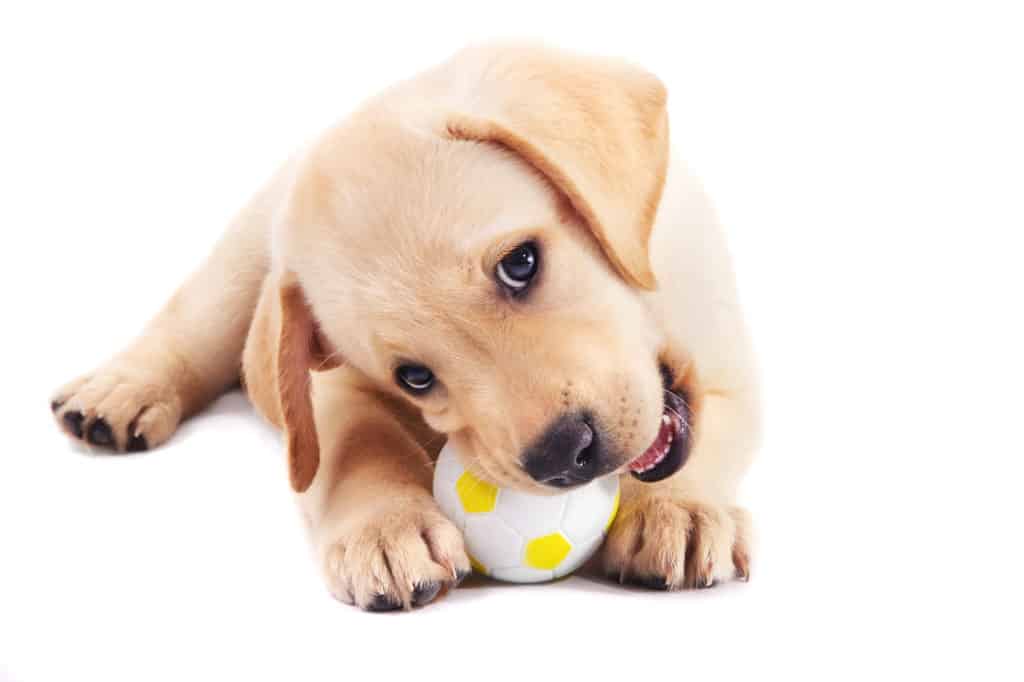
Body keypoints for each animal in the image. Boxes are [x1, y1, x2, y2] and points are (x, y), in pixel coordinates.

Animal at [49, 43, 761, 606]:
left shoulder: (732, 374)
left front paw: (677, 511)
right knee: (191, 323)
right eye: (416, 377)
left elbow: (710, 436)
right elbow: (357, 444)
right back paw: (117, 393)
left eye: (521, 263)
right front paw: (386, 530)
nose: (562, 455)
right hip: (243, 262)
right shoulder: (326, 386)